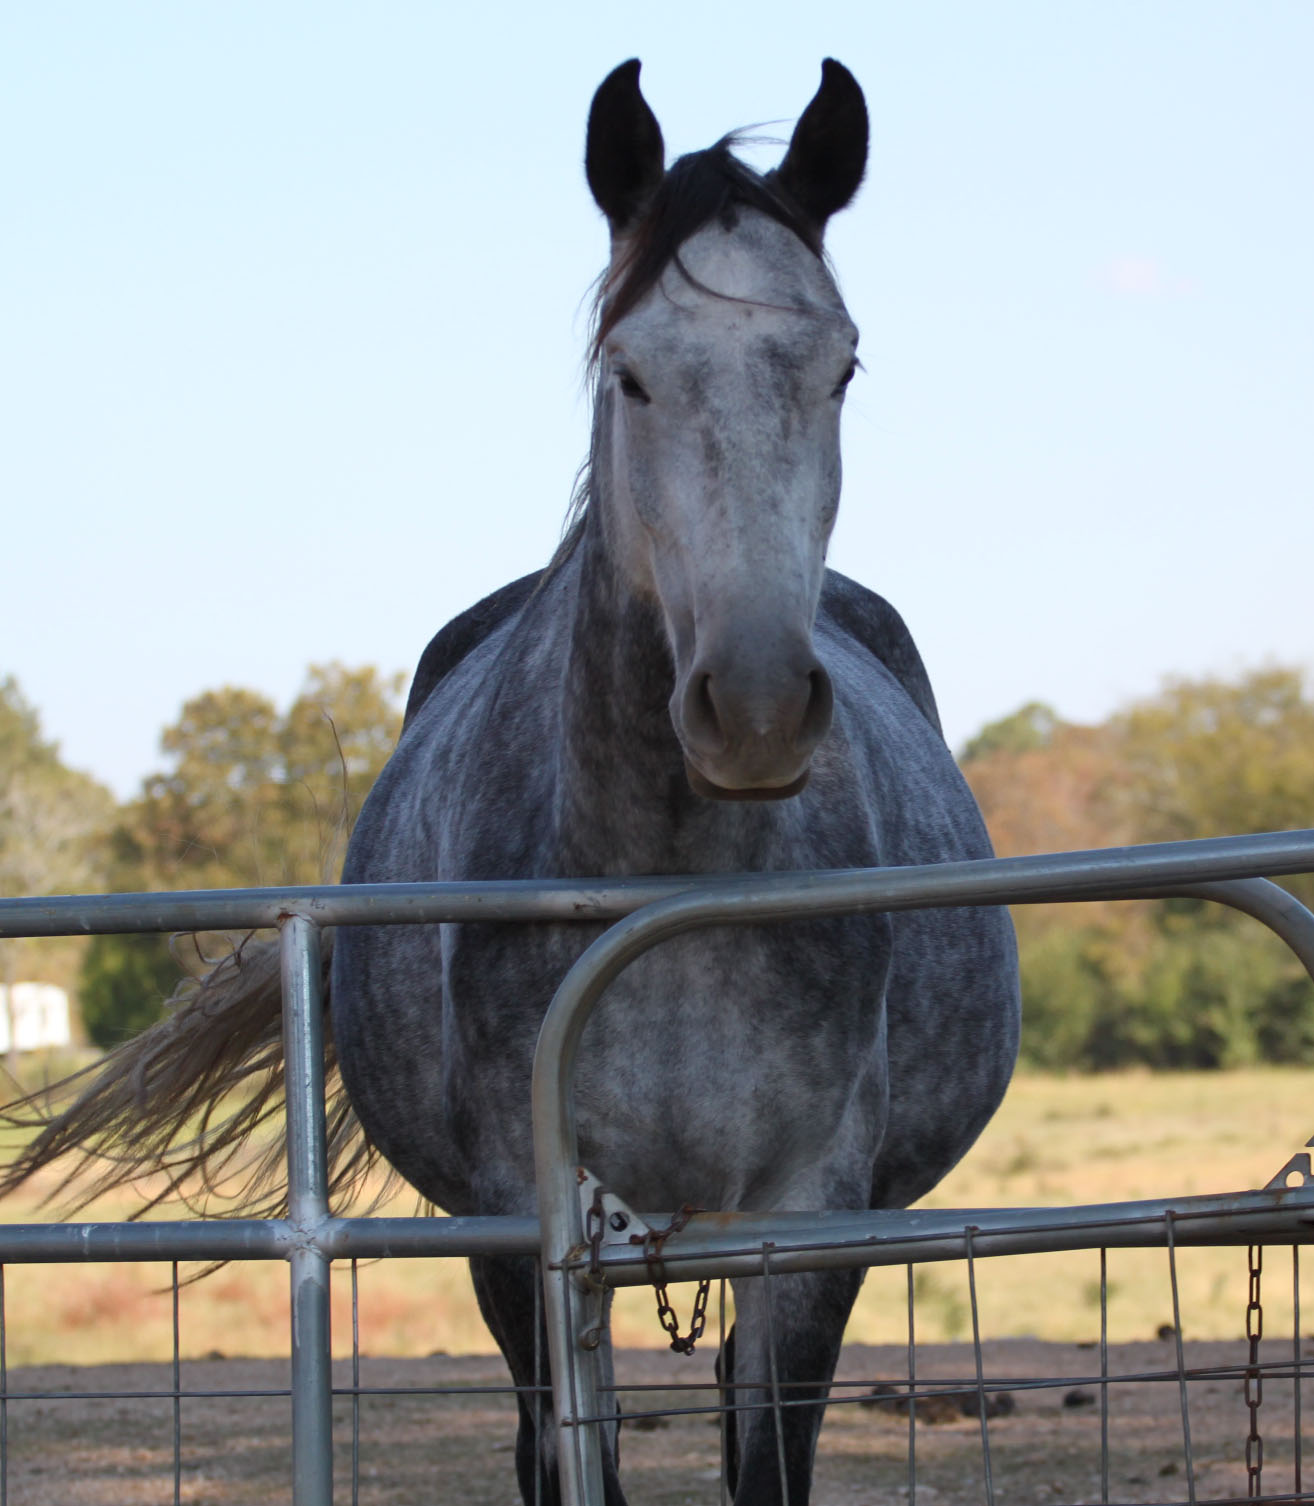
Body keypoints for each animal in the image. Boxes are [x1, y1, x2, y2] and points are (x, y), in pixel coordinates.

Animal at [329, 58, 1019, 1506]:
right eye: (629, 372)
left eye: (842, 366)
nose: (752, 707)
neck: (663, 887)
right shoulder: (523, 1222)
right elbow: (561, 1455)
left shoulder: (809, 1221)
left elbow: (765, 1461)